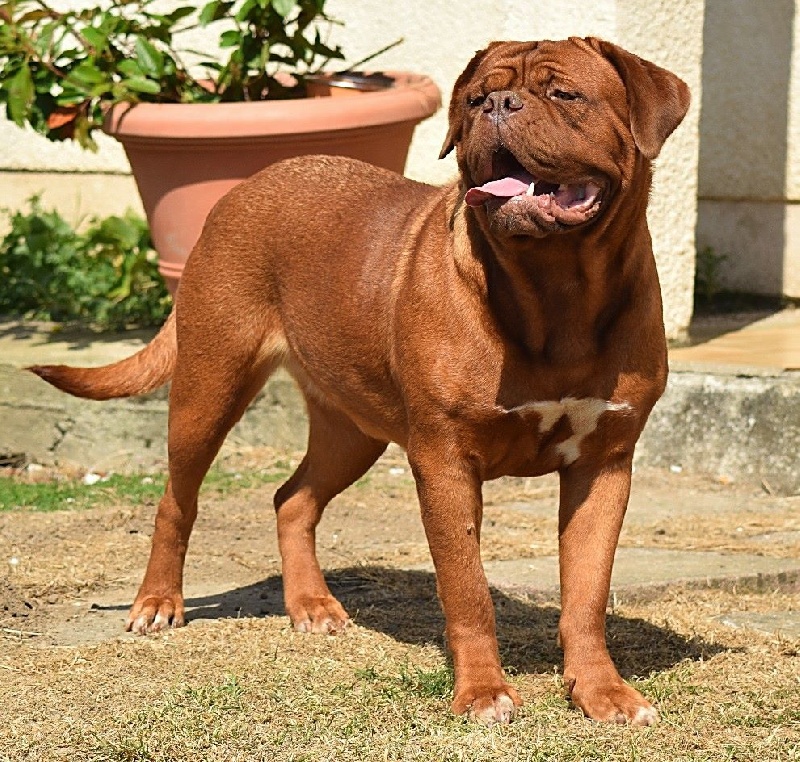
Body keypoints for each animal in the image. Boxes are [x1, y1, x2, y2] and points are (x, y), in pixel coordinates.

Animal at [29, 37, 688, 724]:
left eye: (565, 94)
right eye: (476, 98)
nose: (498, 106)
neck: (556, 290)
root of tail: (244, 188)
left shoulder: (604, 462)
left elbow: (586, 594)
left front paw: (602, 692)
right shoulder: (445, 461)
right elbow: (468, 590)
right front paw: (482, 692)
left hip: (353, 429)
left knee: (293, 498)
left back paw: (310, 606)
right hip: (210, 385)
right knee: (175, 501)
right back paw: (158, 603)